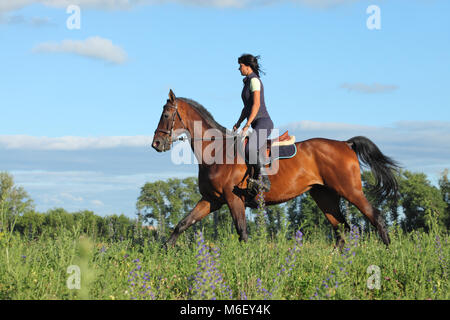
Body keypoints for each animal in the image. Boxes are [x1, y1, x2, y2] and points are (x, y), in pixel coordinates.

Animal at [153, 89, 400, 248]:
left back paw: (388, 255)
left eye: (165, 115)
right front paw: (163, 252)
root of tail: (345, 143)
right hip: (324, 195)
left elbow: (242, 232)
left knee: (376, 218)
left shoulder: (233, 199)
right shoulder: (211, 200)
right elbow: (182, 224)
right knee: (341, 229)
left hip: (350, 190)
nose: (156, 144)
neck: (216, 151)